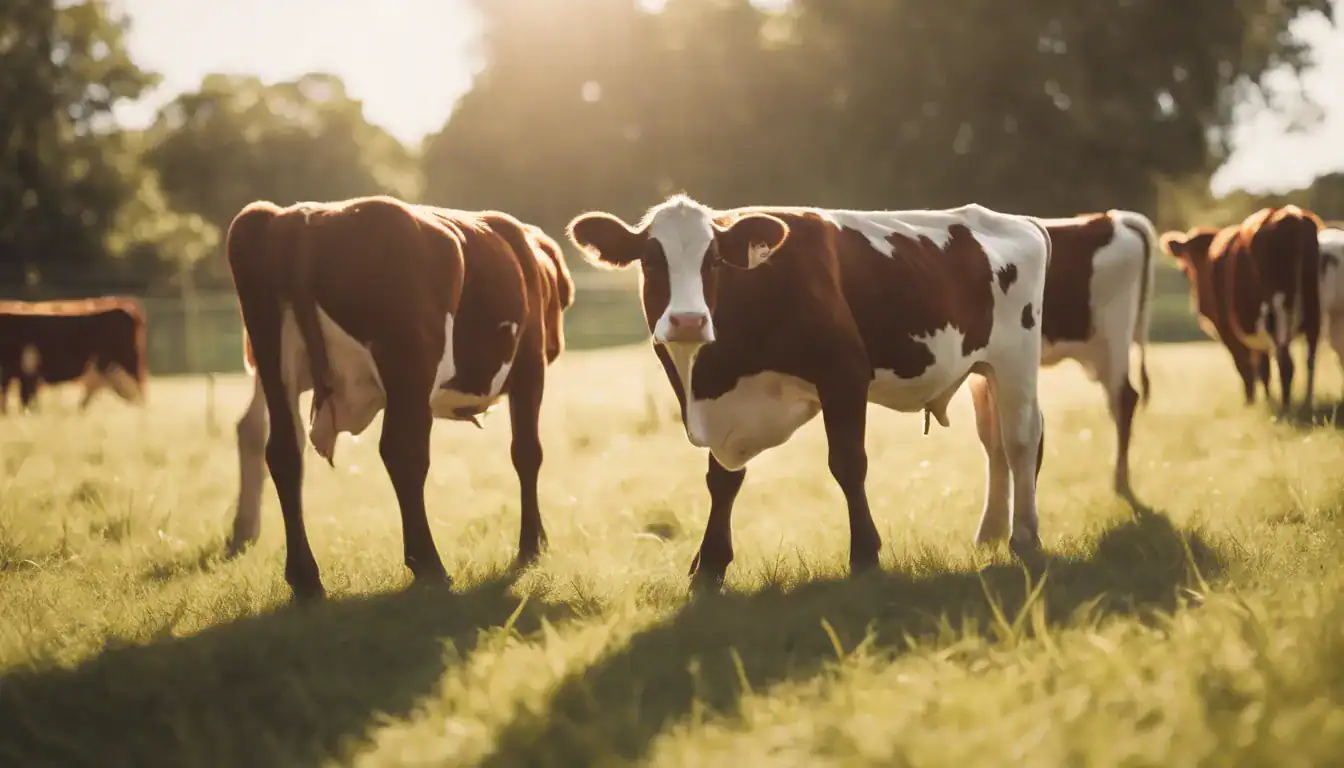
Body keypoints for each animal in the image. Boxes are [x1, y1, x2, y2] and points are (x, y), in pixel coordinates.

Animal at [224, 195, 574, 601]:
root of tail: (304, 217)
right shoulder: (530, 368)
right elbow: (527, 453)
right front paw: (532, 545)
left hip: (273, 366)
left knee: (283, 453)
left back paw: (306, 578)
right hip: (411, 369)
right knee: (403, 452)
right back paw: (429, 565)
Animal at [566, 194, 1052, 588]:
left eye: (714, 262)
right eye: (650, 262)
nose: (688, 321)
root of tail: (1018, 220)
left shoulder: (844, 374)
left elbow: (849, 465)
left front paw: (865, 556)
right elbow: (722, 482)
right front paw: (710, 567)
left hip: (1015, 357)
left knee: (1020, 441)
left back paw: (1025, 537)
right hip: (984, 373)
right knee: (996, 443)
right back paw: (992, 535)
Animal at [1161, 205, 1322, 416]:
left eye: (1185, 269)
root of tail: (1289, 213)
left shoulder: (1228, 331)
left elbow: (1245, 368)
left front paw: (1251, 404)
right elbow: (1263, 369)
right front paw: (1267, 401)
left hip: (1278, 315)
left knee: (1286, 363)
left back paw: (1286, 409)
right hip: (1313, 313)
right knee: (1310, 361)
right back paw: (1306, 404)